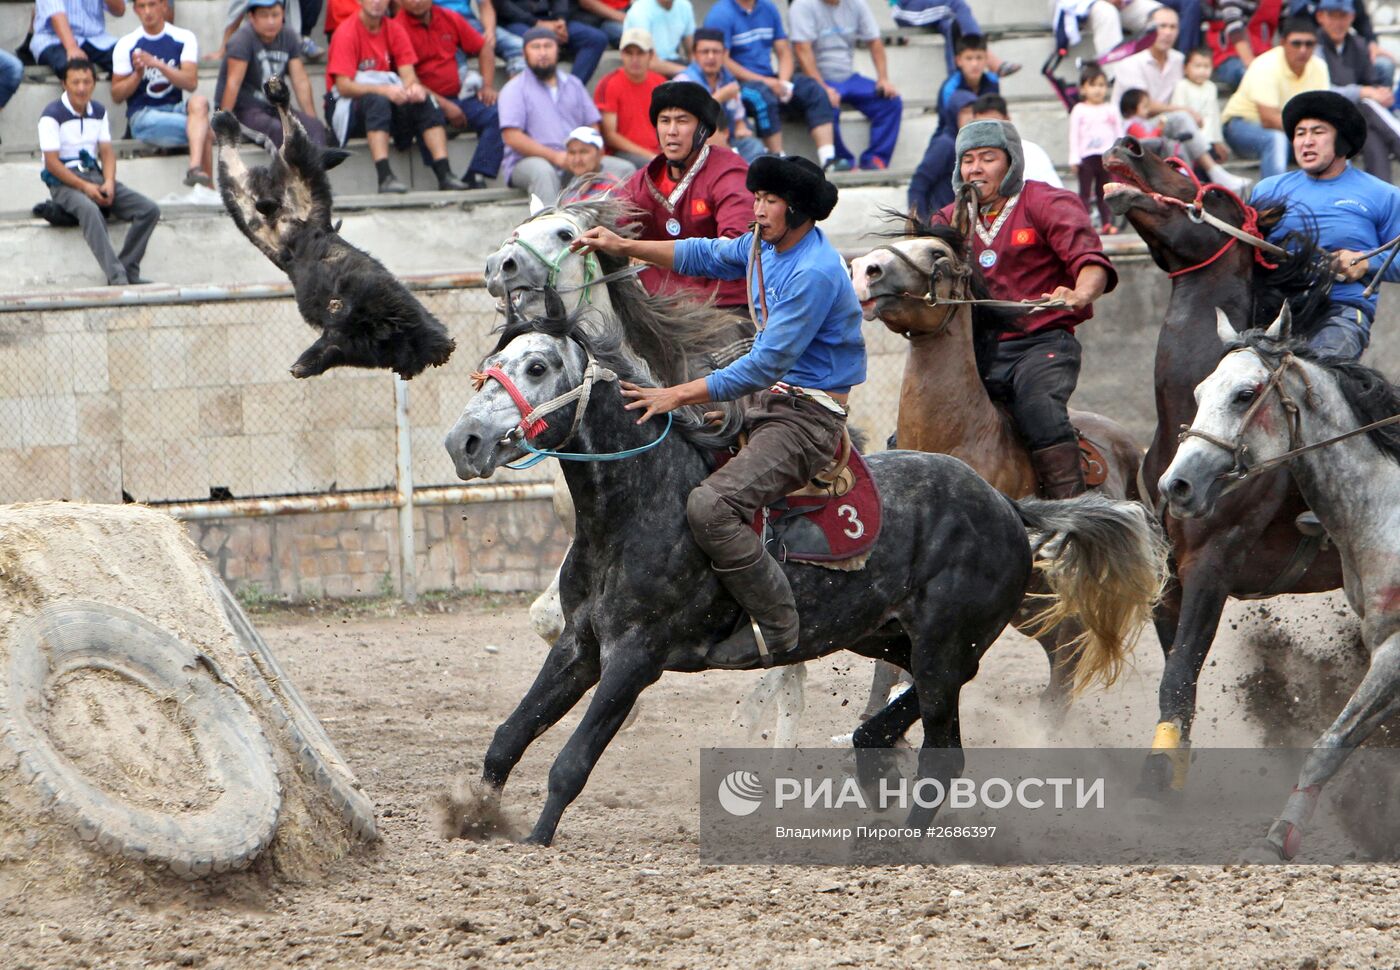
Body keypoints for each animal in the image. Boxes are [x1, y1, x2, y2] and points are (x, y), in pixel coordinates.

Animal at [442, 292, 1164, 839]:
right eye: (491, 364)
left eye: (538, 366)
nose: (463, 441)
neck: (645, 503)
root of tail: (1010, 507)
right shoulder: (580, 646)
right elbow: (510, 734)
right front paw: (474, 817)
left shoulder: (636, 656)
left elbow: (572, 760)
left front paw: (534, 837)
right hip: (895, 637)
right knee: (923, 710)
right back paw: (872, 757)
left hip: (943, 643)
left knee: (946, 753)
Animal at [845, 222, 1153, 713]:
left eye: (937, 252)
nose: (864, 270)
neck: (956, 440)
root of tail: (1127, 445)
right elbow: (887, 666)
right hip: (1032, 603)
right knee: (1061, 647)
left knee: (1068, 654)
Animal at [1103, 134, 1344, 789]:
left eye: (1196, 183)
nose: (1125, 145)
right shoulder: (1170, 579)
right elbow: (1177, 680)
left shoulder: (1215, 563)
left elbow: (1179, 673)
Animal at [1159, 306, 1400, 856]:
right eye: (1200, 392)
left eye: (1245, 394)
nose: (1175, 485)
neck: (1388, 504)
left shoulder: (1395, 650)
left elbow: (1332, 741)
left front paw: (1277, 838)